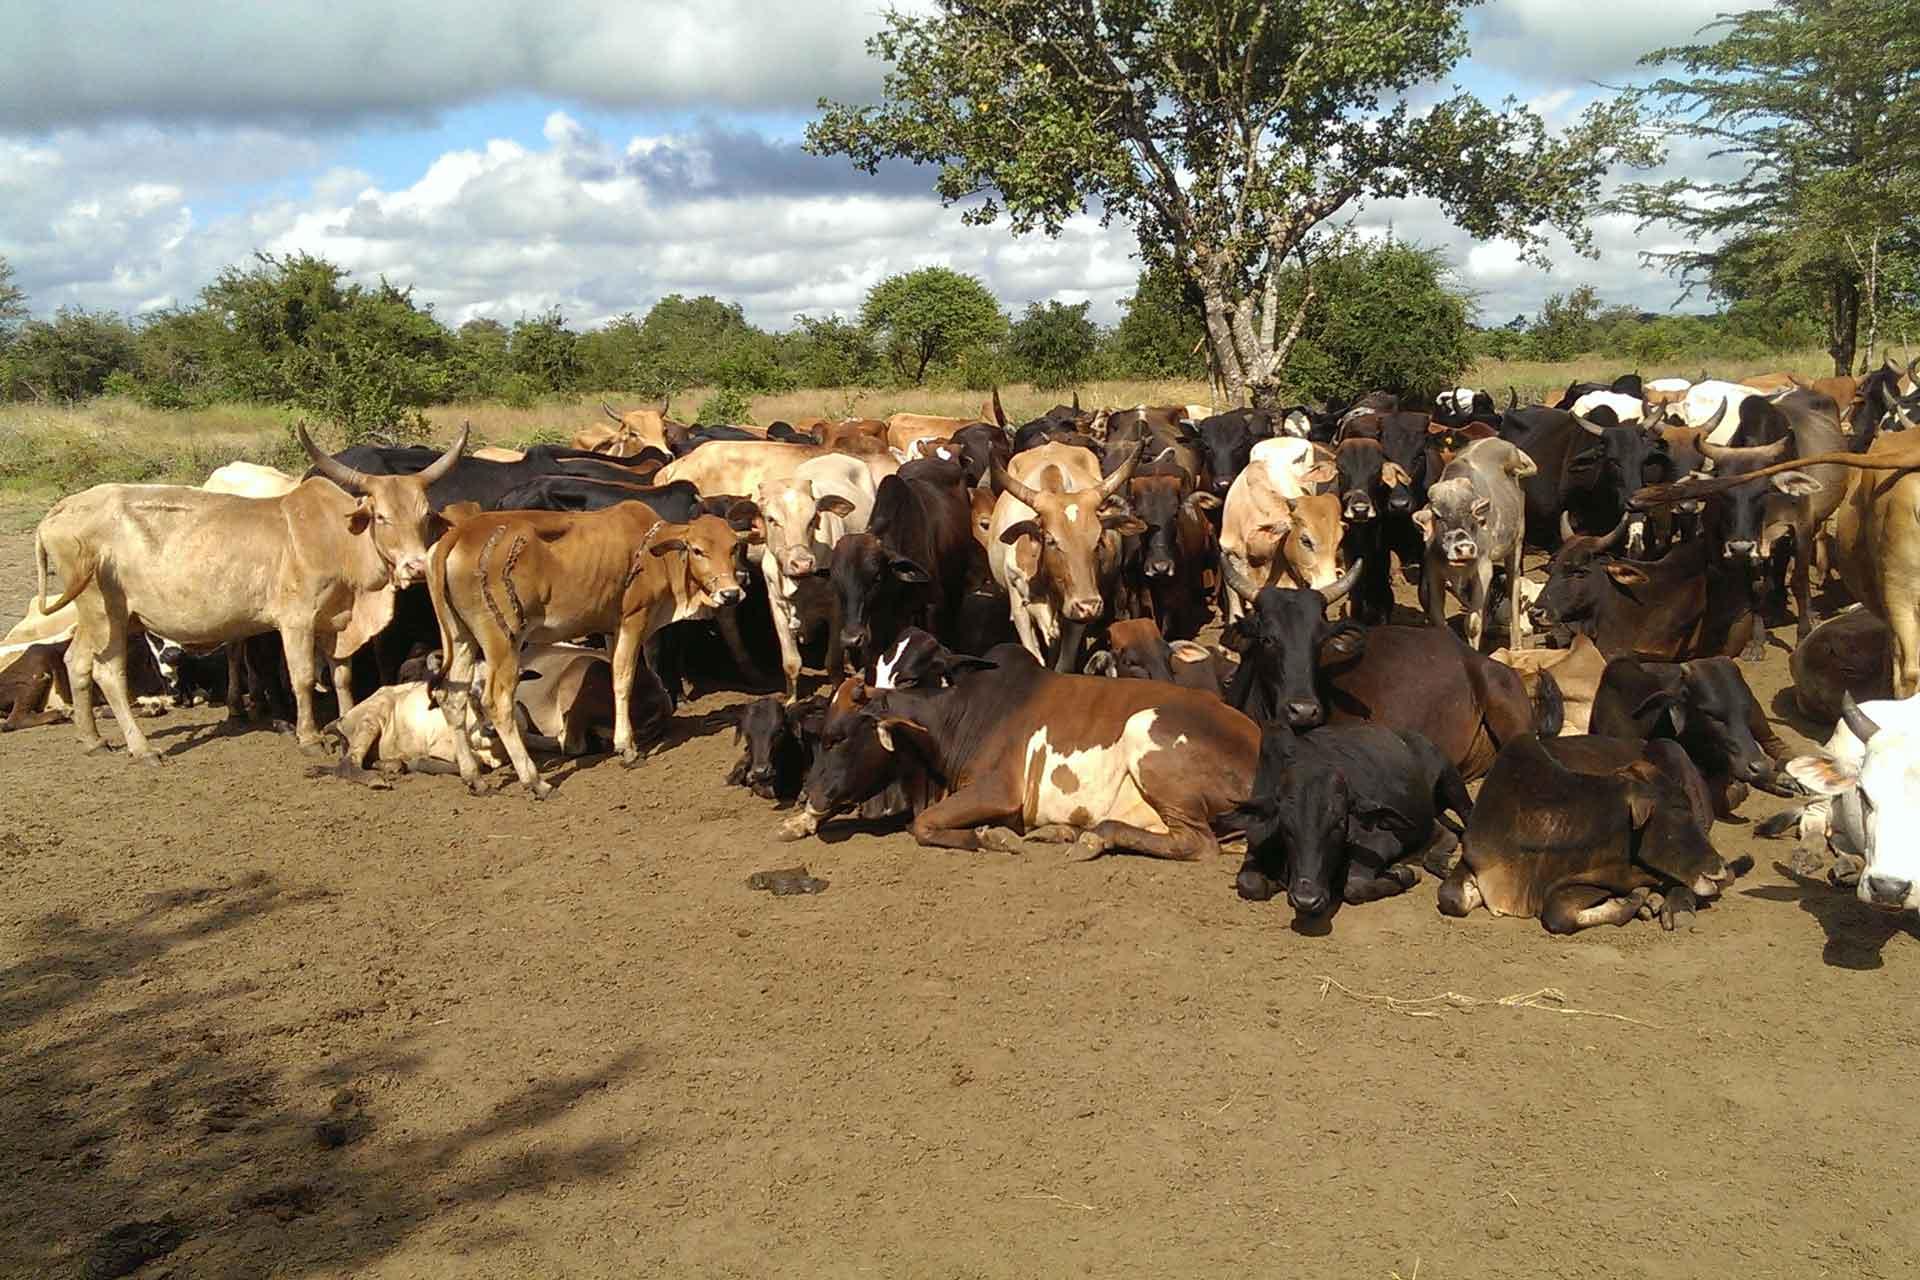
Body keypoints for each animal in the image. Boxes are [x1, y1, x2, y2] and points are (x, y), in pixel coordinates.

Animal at [37, 426, 464, 756]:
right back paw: (142, 748)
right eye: (381, 516)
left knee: (77, 662)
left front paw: (344, 720)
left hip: (107, 617)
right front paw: (309, 738)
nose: (416, 566)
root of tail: (57, 513)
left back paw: (93, 740)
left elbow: (342, 676)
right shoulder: (296, 622)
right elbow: (303, 677)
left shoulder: (337, 622)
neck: (337, 538)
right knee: (108, 672)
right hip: (104, 613)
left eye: (424, 514)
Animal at [428, 506, 756, 794]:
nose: (730, 593)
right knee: (498, 702)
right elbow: (623, 678)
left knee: (451, 696)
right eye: (698, 550)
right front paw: (627, 749)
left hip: (461, 638)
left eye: (734, 547)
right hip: (504, 641)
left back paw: (474, 778)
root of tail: (458, 534)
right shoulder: (633, 618)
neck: (655, 554)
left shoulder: (611, 629)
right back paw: (535, 781)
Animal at [1228, 721, 1466, 921]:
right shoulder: (1256, 839)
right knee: (1444, 832)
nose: (1307, 900)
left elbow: (1354, 887)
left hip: (1452, 782)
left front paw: (1405, 873)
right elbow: (1249, 883)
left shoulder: (1382, 840)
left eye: (1340, 823)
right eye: (1285, 826)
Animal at [1443, 736, 1743, 936]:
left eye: (1687, 806)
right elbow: (1451, 897)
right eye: (1679, 811)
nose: (1721, 867)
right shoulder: (1475, 857)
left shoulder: (1609, 878)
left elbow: (1558, 911)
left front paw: (1633, 899)